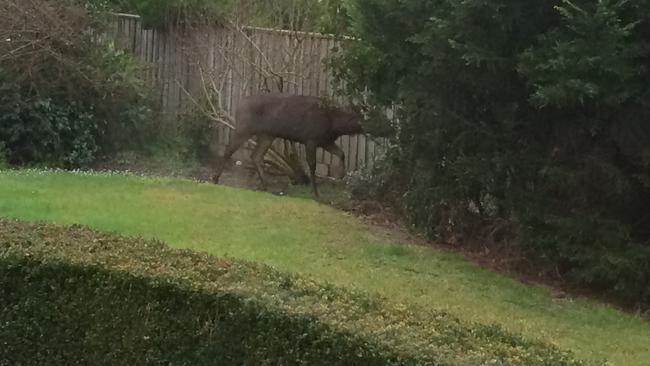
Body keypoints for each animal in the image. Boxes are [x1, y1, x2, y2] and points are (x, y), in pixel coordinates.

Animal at [213, 94, 364, 197]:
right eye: (362, 118)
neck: (334, 125)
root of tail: (238, 105)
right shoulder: (311, 139)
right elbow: (312, 165)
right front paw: (315, 192)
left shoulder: (325, 141)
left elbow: (341, 153)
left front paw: (341, 174)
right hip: (244, 128)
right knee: (228, 150)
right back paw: (215, 178)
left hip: (267, 135)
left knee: (256, 155)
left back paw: (265, 185)